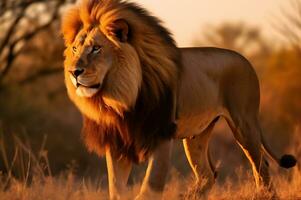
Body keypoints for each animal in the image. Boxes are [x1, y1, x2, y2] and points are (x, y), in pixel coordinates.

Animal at [61, 0, 296, 199]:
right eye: (75, 49)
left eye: (96, 48)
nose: (74, 72)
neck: (122, 97)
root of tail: (246, 59)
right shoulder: (117, 141)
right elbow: (116, 189)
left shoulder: (162, 134)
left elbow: (150, 187)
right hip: (197, 136)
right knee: (208, 174)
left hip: (244, 123)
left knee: (261, 165)